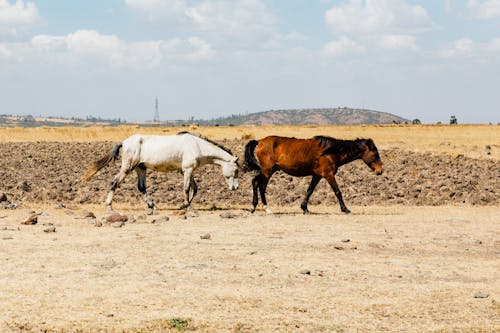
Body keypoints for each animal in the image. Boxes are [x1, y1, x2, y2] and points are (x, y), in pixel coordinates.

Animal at [83, 131, 239, 209]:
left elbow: (194, 188)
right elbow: (187, 188)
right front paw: (186, 205)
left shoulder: (187, 171)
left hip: (141, 169)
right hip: (127, 168)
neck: (196, 146)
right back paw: (109, 205)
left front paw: (184, 205)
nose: (235, 188)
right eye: (237, 170)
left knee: (141, 187)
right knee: (114, 182)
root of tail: (124, 142)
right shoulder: (187, 170)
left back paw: (151, 205)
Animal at [245, 135, 382, 213]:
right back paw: (264, 208)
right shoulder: (328, 175)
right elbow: (338, 192)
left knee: (256, 182)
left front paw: (304, 208)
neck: (331, 152)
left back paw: (256, 207)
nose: (380, 171)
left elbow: (309, 190)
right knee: (260, 185)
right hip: (267, 171)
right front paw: (345, 209)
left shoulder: (317, 176)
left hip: (269, 170)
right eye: (375, 154)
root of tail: (259, 141)